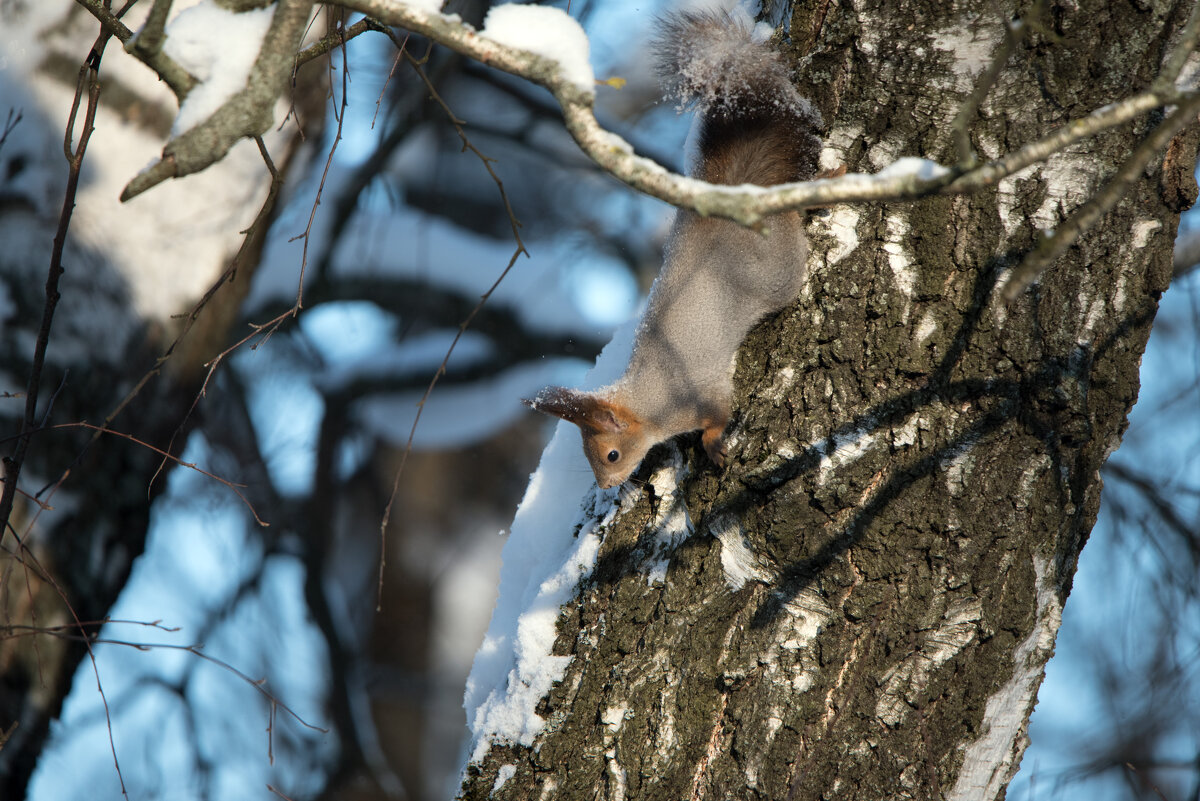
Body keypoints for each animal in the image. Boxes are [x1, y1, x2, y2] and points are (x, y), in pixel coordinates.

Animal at [525, 10, 825, 489]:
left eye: (611, 454)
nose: (608, 485)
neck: (650, 400)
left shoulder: (701, 393)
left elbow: (718, 415)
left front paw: (713, 444)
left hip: (778, 271)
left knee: (792, 220)